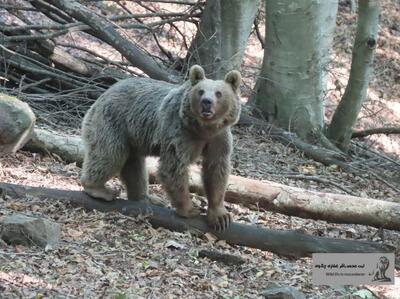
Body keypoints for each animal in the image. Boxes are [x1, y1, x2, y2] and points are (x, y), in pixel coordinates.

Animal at [79, 65, 239, 230]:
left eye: (219, 93)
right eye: (200, 91)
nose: (206, 102)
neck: (203, 129)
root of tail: (104, 94)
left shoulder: (219, 138)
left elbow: (216, 170)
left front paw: (221, 216)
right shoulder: (178, 132)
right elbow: (174, 167)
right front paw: (189, 209)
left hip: (133, 137)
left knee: (135, 168)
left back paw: (146, 198)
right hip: (114, 122)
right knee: (109, 155)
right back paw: (99, 189)